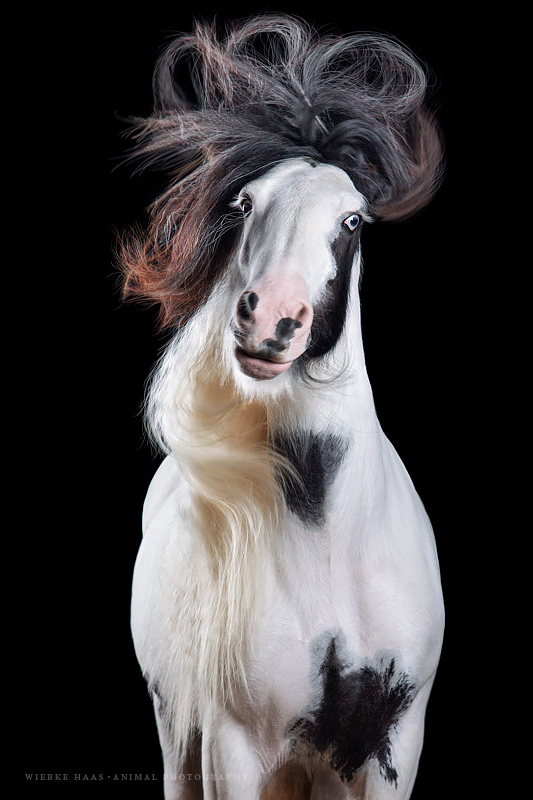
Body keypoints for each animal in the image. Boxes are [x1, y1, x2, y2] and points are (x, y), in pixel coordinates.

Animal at [120, 16, 445, 799]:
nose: (270, 319)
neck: (328, 547)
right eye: (243, 205)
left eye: (352, 220)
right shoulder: (235, 744)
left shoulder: (391, 744)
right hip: (178, 734)